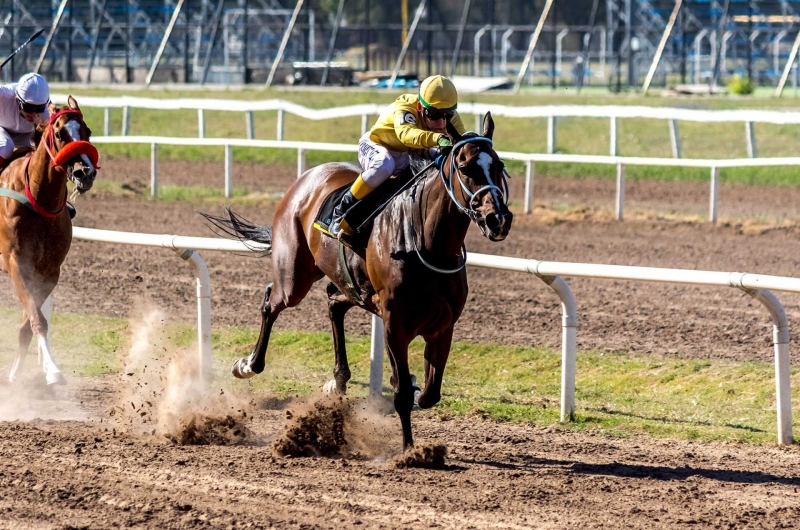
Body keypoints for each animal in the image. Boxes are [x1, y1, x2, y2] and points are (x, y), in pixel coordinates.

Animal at [0, 95, 97, 384]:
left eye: (87, 131)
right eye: (59, 133)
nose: (85, 172)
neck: (37, 199)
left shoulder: (48, 272)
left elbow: (29, 324)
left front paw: (15, 375)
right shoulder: (16, 263)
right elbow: (38, 320)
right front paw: (53, 370)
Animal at [208, 114, 512, 446]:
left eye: (499, 165)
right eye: (465, 167)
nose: (498, 219)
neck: (426, 243)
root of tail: (307, 177)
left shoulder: (442, 325)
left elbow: (429, 394)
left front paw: (410, 387)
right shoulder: (394, 323)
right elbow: (403, 394)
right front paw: (409, 449)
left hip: (347, 283)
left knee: (333, 301)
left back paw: (337, 381)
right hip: (295, 277)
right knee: (271, 302)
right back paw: (248, 365)